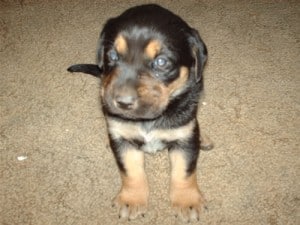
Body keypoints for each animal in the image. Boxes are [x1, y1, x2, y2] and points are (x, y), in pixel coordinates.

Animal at [67, 3, 212, 221]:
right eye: (112, 55)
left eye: (161, 62)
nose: (122, 103)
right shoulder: (124, 140)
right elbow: (131, 171)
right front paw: (132, 200)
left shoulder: (184, 137)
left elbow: (184, 171)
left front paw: (187, 202)